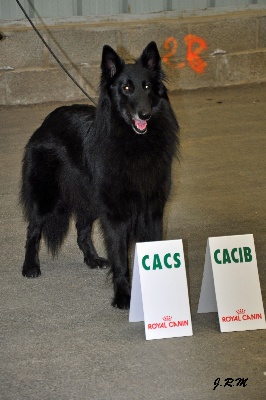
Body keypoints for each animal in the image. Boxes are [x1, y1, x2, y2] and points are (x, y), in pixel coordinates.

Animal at [20, 41, 179, 310]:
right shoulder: (116, 214)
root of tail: (47, 121)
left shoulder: (153, 211)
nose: (145, 115)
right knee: (33, 229)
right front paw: (123, 296)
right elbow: (121, 259)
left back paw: (92, 259)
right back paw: (30, 266)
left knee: (82, 230)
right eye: (126, 88)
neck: (133, 144)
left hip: (90, 199)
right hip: (48, 196)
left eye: (147, 86)